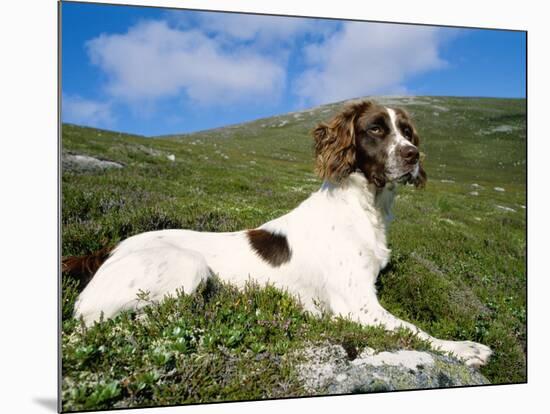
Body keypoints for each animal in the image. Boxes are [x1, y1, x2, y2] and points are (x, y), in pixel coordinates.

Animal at [62, 100, 494, 368]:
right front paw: (463, 348)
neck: (363, 207)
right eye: (375, 129)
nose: (412, 156)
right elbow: (413, 328)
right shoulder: (356, 305)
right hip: (187, 267)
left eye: (407, 131)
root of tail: (108, 250)